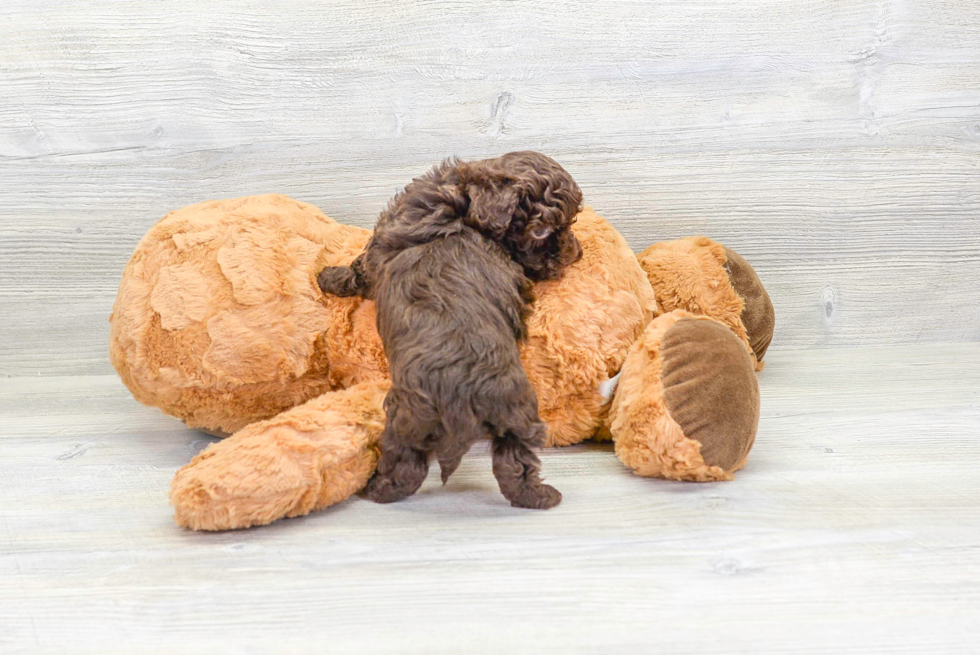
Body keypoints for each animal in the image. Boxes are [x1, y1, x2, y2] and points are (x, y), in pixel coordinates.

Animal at [320, 151, 580, 510]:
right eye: (540, 231)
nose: (576, 252)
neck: (461, 209)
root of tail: (462, 394)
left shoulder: (377, 251)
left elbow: (355, 271)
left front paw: (325, 276)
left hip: (419, 418)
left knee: (420, 466)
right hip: (497, 418)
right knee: (506, 463)